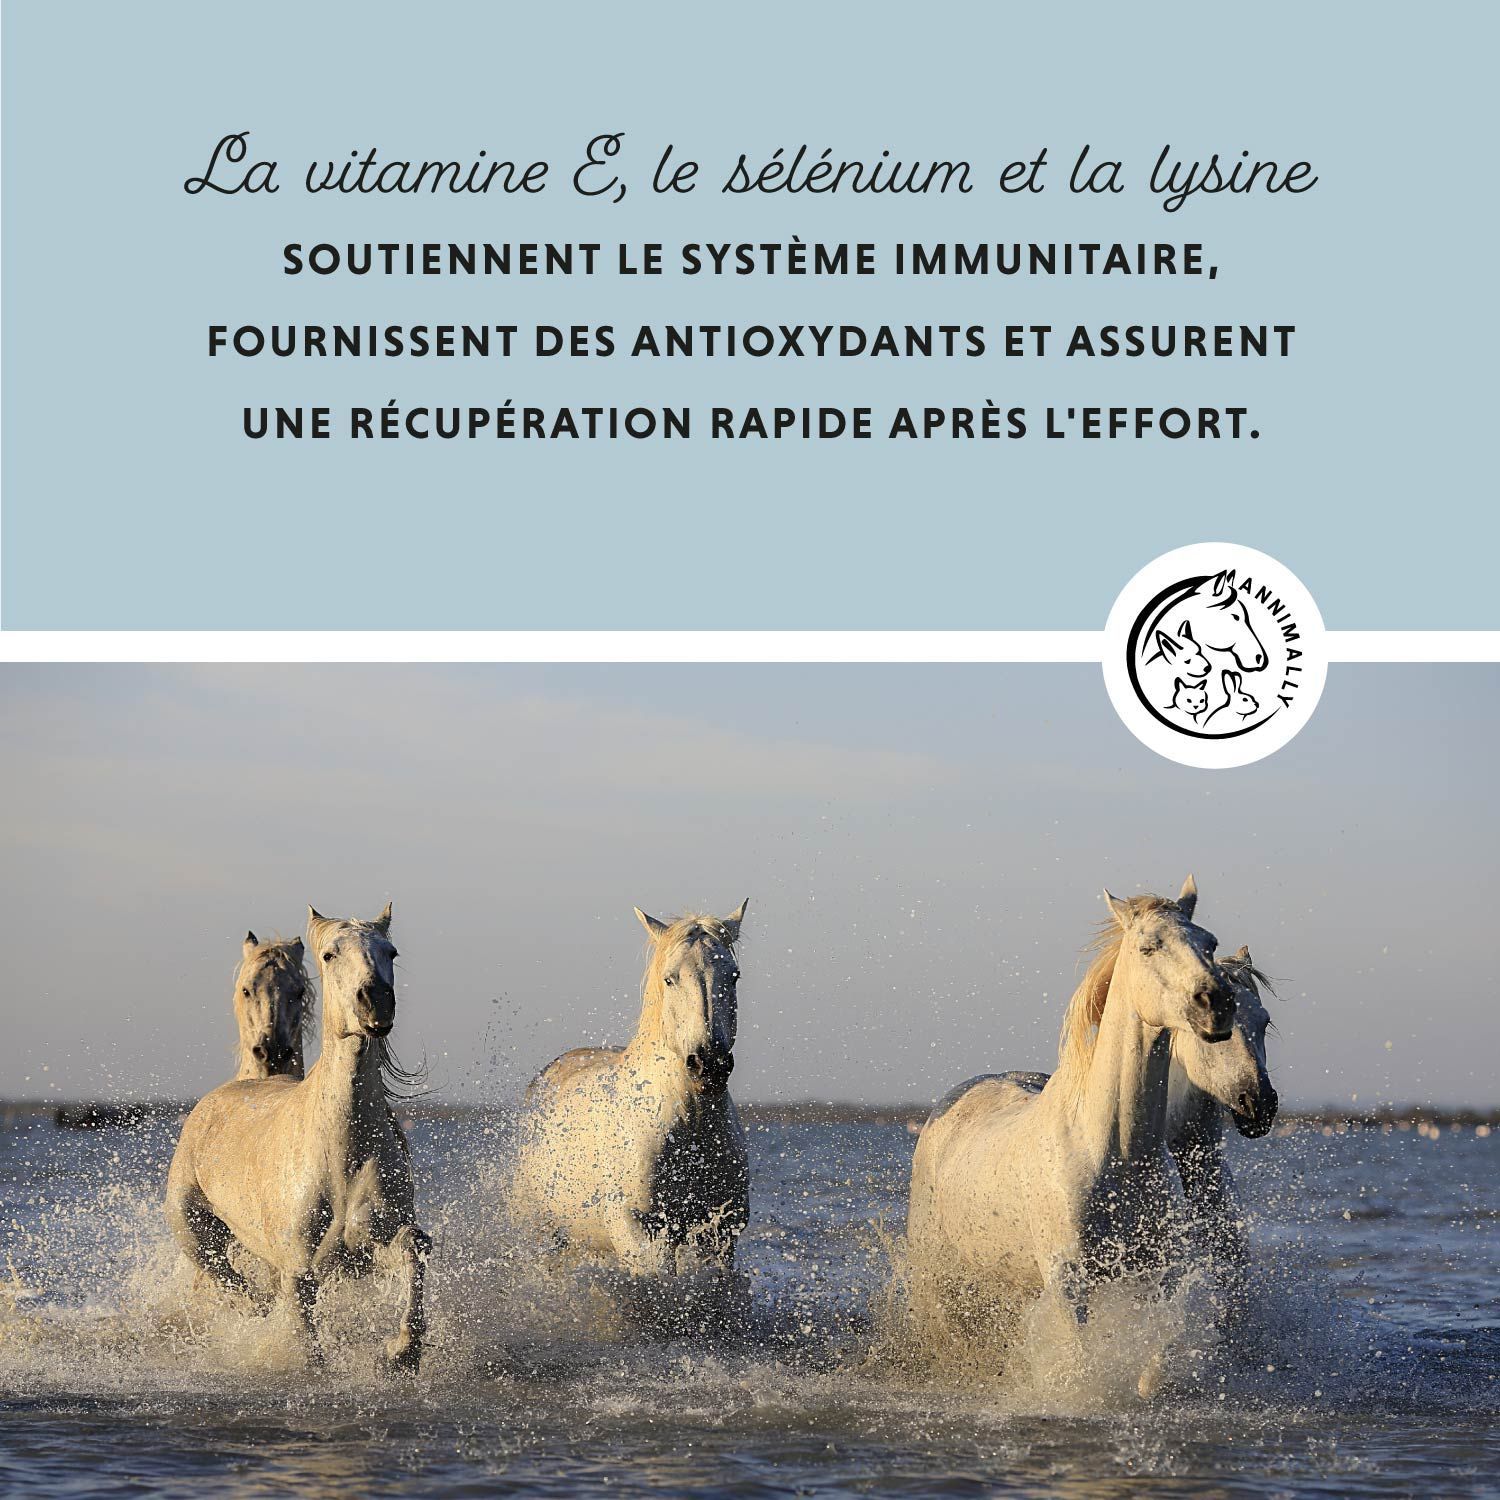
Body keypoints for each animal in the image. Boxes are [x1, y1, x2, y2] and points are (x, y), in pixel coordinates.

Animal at [510, 901, 750, 1289]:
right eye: (670, 978)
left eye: (734, 976)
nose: (709, 1064)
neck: (689, 1128)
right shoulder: (642, 1234)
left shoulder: (718, 1236)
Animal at [905, 878, 1236, 1348]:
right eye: (1148, 947)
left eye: (1210, 942)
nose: (1216, 1003)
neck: (1115, 1151)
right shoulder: (1069, 1284)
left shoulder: (1154, 1276)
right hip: (933, 1272)